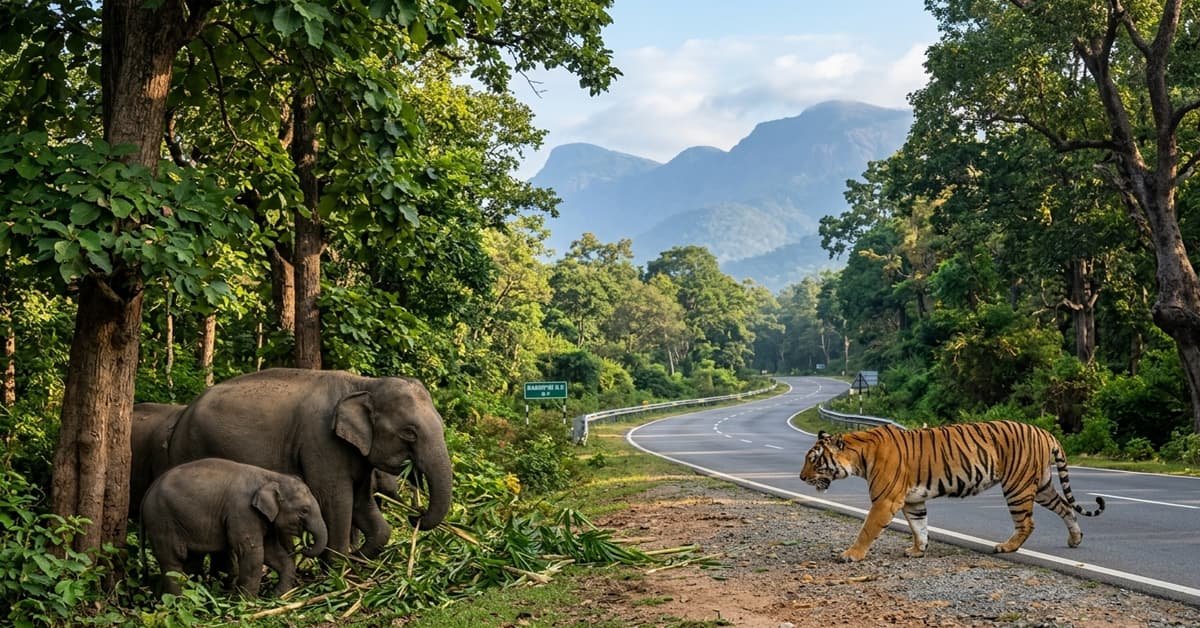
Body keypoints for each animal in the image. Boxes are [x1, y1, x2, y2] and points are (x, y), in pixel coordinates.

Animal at [140, 457, 327, 597]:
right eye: (304, 511)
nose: (305, 546)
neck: (270, 476)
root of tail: (148, 491)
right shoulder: (243, 512)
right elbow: (252, 553)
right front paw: (247, 603)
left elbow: (272, 552)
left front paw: (277, 596)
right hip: (161, 521)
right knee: (172, 562)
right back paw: (179, 600)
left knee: (191, 560)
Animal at [165, 368, 453, 558]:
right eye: (409, 433)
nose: (415, 515)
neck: (363, 384)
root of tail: (182, 416)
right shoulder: (320, 441)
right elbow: (337, 499)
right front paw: (338, 574)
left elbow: (361, 502)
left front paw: (358, 559)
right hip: (189, 449)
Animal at [798, 420, 1105, 562]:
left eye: (813, 459)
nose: (801, 477)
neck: (859, 457)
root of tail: (1044, 431)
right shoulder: (913, 501)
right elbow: (919, 526)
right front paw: (917, 550)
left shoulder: (885, 501)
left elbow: (867, 529)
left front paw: (851, 554)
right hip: (1040, 485)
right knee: (1065, 507)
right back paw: (1075, 539)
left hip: (1017, 486)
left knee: (1027, 522)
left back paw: (1006, 546)